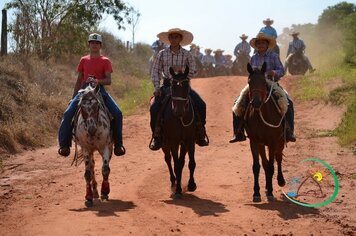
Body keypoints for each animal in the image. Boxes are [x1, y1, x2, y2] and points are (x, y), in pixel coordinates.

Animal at [161, 65, 197, 198]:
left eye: (186, 86)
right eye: (172, 87)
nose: (179, 111)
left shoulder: (189, 140)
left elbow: (190, 163)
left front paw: (191, 185)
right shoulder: (173, 141)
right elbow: (176, 164)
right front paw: (177, 190)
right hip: (164, 143)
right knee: (168, 159)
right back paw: (173, 182)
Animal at [245, 62, 286, 203]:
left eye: (263, 81)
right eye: (249, 82)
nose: (256, 102)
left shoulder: (273, 142)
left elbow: (271, 166)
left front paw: (271, 192)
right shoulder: (254, 141)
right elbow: (257, 167)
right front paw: (256, 193)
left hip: (280, 142)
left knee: (278, 159)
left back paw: (280, 181)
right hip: (262, 144)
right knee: (265, 163)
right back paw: (267, 188)